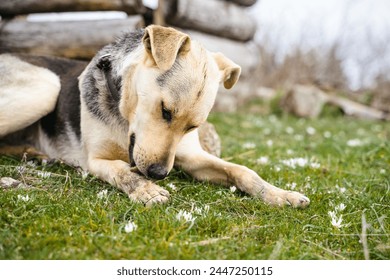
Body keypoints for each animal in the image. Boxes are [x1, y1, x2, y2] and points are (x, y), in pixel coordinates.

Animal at [0, 24, 310, 208]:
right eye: (165, 110)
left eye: (192, 127)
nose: (159, 174)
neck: (124, 119)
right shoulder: (95, 160)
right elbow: (122, 170)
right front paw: (145, 189)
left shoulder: (191, 156)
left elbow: (242, 171)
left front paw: (280, 194)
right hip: (45, 86)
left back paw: (35, 153)